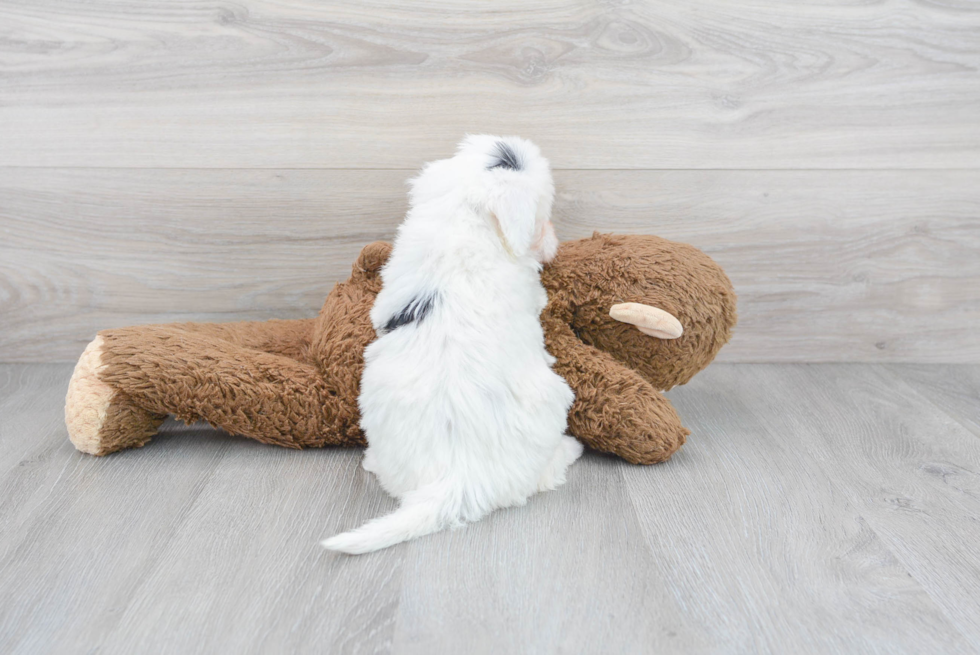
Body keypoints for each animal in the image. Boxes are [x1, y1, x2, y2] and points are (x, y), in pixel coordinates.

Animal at [322, 136, 580, 556]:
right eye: (543, 214)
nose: (555, 242)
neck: (463, 218)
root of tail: (459, 481)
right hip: (552, 405)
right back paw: (570, 449)